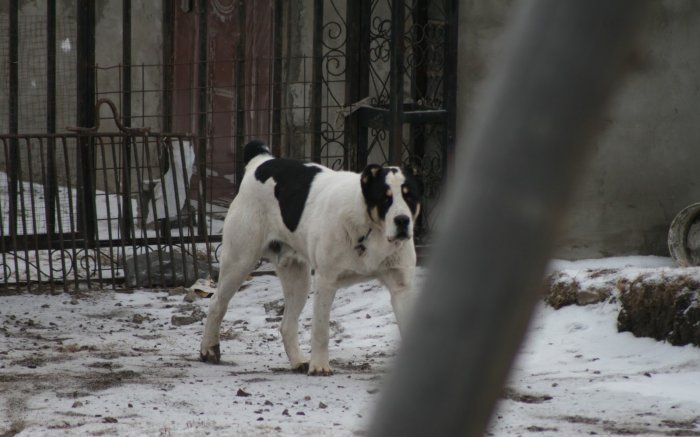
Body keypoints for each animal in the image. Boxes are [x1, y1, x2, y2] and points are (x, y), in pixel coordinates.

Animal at [200, 141, 424, 374]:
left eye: (410, 196)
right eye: (385, 198)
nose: (402, 220)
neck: (371, 228)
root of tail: (261, 160)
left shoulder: (402, 288)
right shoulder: (326, 281)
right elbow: (321, 330)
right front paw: (320, 366)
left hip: (298, 279)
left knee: (287, 324)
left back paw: (298, 360)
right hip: (239, 260)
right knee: (217, 303)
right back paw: (209, 349)